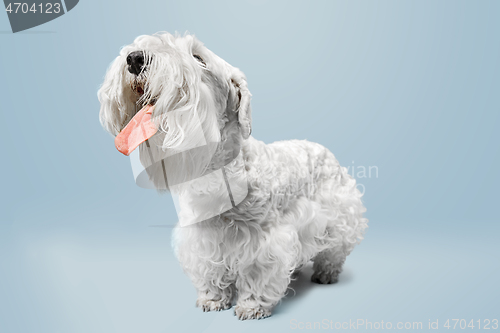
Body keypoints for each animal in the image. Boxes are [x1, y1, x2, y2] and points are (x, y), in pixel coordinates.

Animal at [98, 31, 368, 320]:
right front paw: (213, 298)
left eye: (199, 58)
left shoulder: (265, 240)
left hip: (340, 217)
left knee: (335, 250)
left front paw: (251, 306)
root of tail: (324, 149)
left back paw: (326, 273)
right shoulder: (202, 239)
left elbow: (258, 273)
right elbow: (210, 270)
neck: (218, 173)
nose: (135, 59)